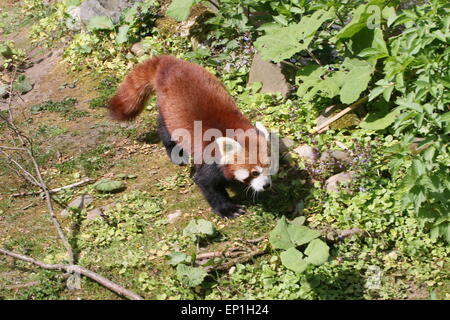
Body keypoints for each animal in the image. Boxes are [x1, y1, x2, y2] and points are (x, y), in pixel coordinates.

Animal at [109, 56, 272, 219]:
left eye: (268, 167)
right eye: (254, 173)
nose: (267, 185)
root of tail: (169, 62)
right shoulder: (210, 158)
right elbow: (206, 183)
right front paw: (228, 209)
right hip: (169, 111)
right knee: (165, 130)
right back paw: (176, 153)